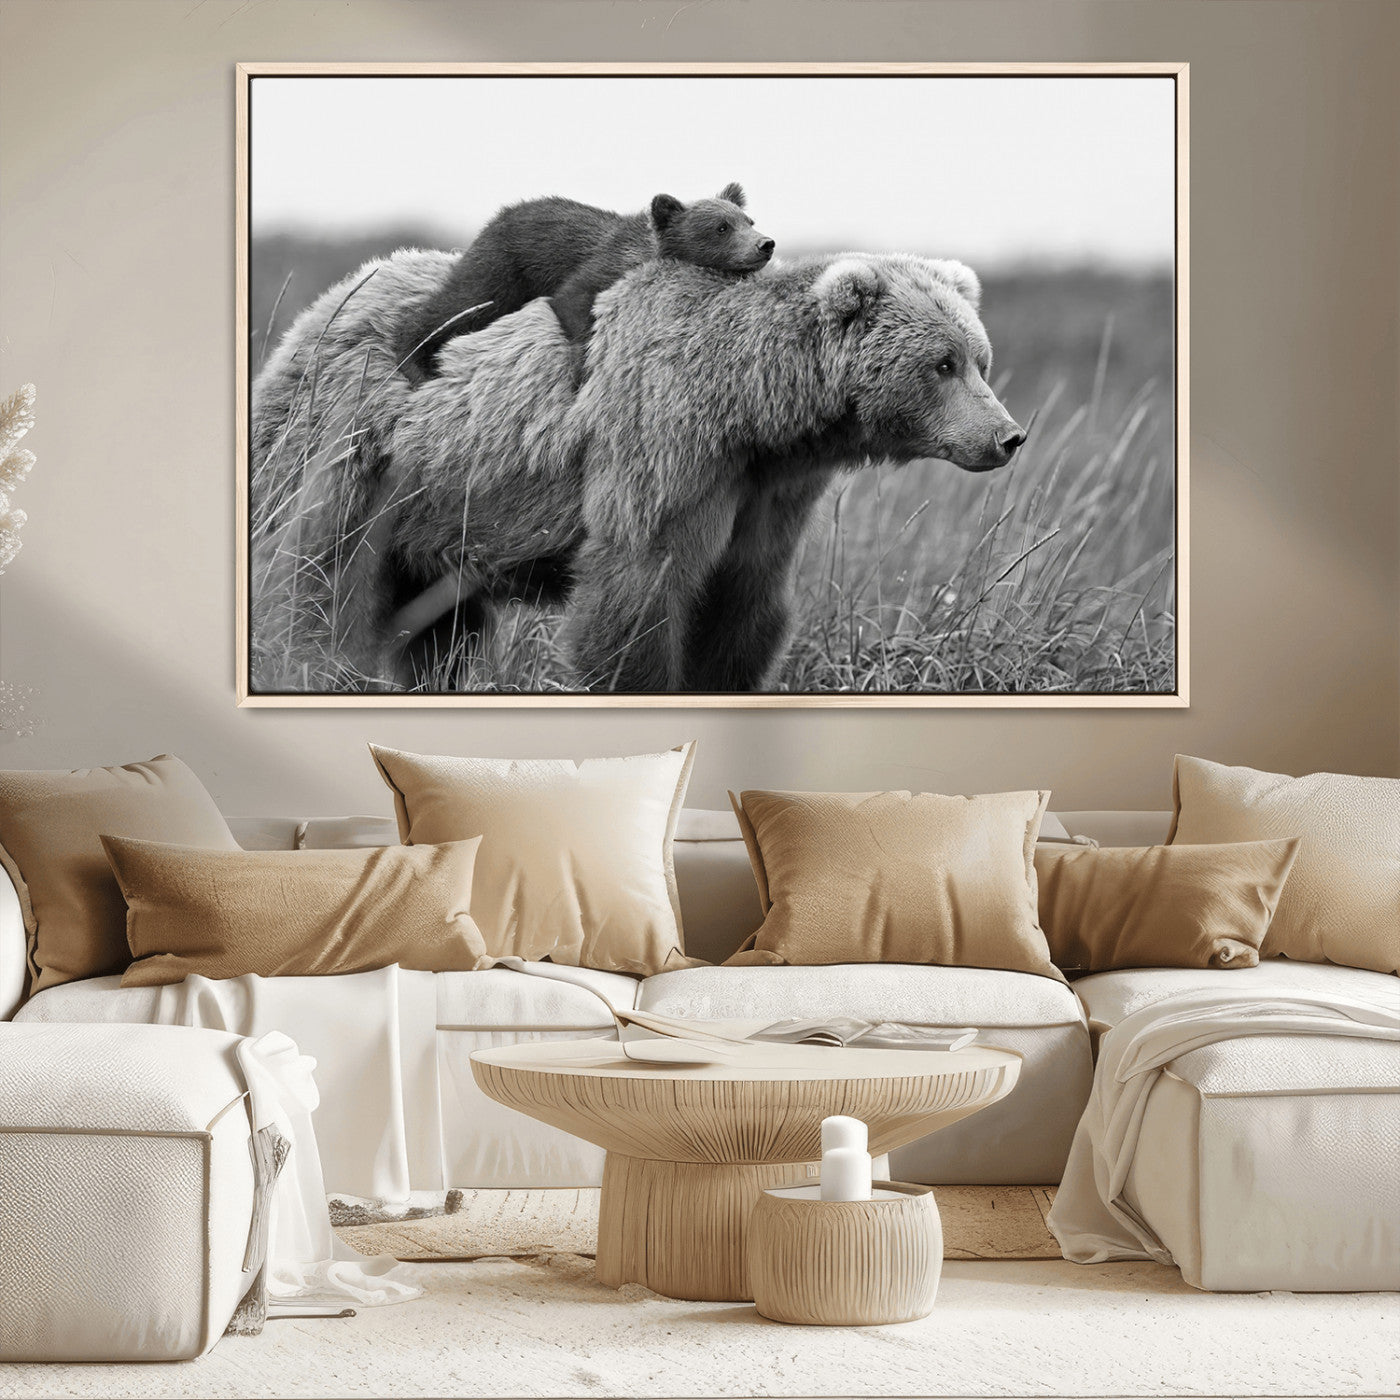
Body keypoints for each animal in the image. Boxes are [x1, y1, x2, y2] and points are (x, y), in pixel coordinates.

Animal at [248, 247, 1024, 694]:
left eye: (979, 359)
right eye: (942, 364)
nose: (1008, 435)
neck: (754, 410)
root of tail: (327, 301)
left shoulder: (767, 493)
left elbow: (743, 604)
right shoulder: (663, 445)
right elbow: (637, 590)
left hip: (439, 510)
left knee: (441, 628)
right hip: (353, 451)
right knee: (318, 578)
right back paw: (308, 663)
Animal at [389, 183, 774, 384]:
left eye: (749, 220)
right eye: (721, 227)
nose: (765, 244)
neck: (647, 252)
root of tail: (498, 215)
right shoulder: (602, 266)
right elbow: (572, 299)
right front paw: (581, 368)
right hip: (503, 268)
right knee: (460, 304)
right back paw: (414, 361)